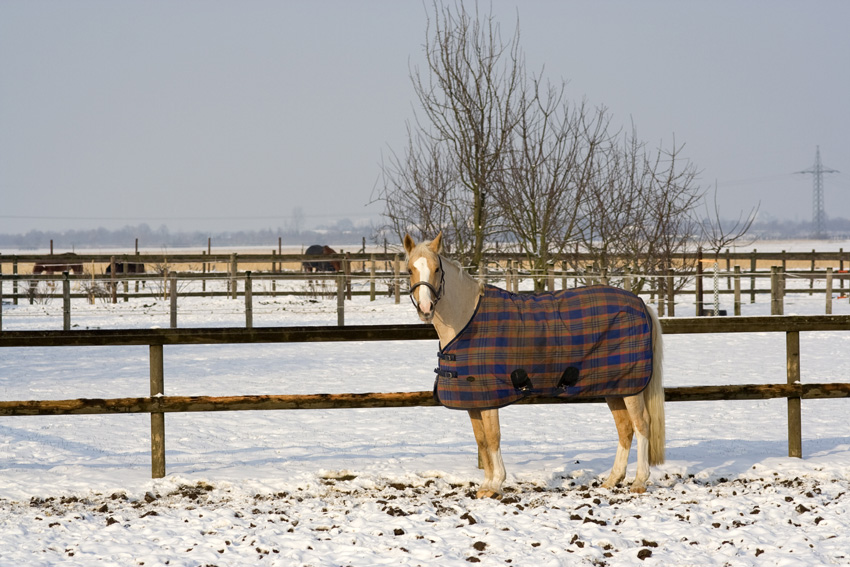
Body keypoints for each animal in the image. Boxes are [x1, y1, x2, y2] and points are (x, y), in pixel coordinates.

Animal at [402, 233, 664, 500]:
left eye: (436, 268)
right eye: (410, 269)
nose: (426, 309)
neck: (467, 320)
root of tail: (641, 304)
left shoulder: (490, 397)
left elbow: (493, 438)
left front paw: (496, 484)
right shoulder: (473, 400)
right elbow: (481, 441)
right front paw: (486, 485)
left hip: (631, 387)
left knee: (642, 425)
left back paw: (639, 482)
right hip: (615, 387)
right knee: (625, 429)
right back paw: (611, 481)